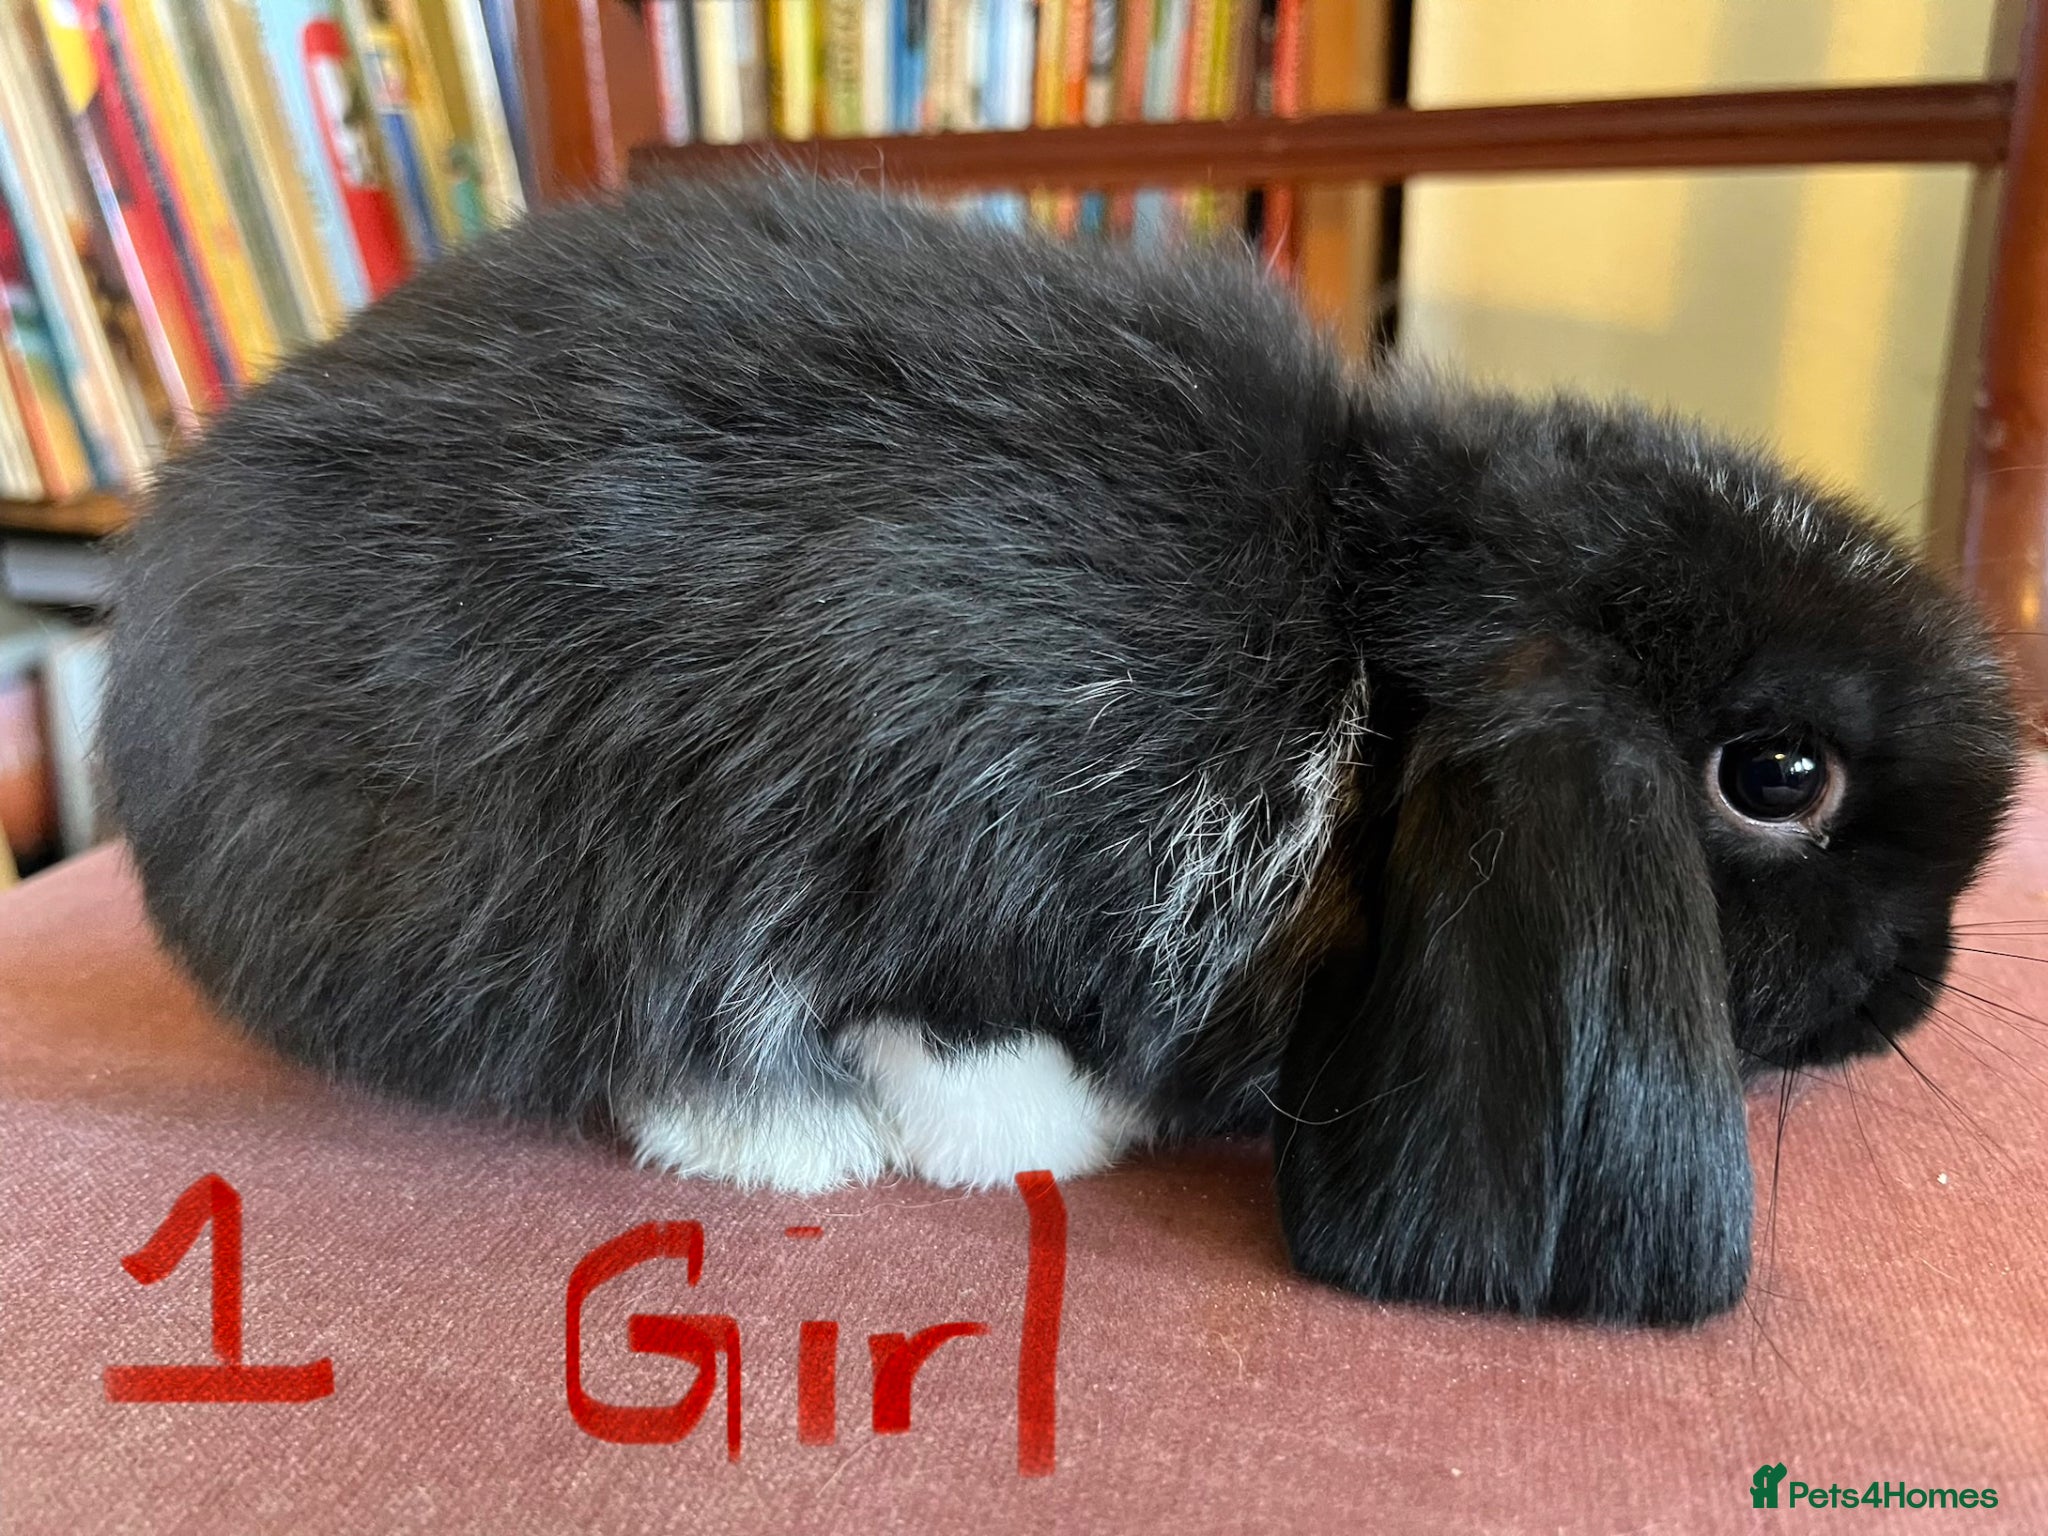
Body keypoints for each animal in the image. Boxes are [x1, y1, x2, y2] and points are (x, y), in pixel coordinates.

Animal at [102, 174, 2020, 1327]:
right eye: (1775, 780)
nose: (1915, 991)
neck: (1360, 653)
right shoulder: (945, 819)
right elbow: (943, 1015)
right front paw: (1029, 1138)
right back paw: (782, 1136)